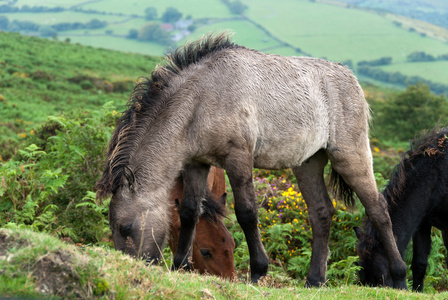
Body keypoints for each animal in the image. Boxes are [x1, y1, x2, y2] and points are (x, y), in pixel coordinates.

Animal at [96, 32, 408, 288]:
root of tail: (350, 77)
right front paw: (181, 264)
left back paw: (400, 277)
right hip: (308, 163)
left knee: (378, 210)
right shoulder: (197, 164)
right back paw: (315, 280)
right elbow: (189, 212)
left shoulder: (238, 159)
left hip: (350, 156)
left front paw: (258, 271)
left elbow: (246, 213)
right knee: (321, 213)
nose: (134, 267)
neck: (202, 99)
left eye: (125, 227)